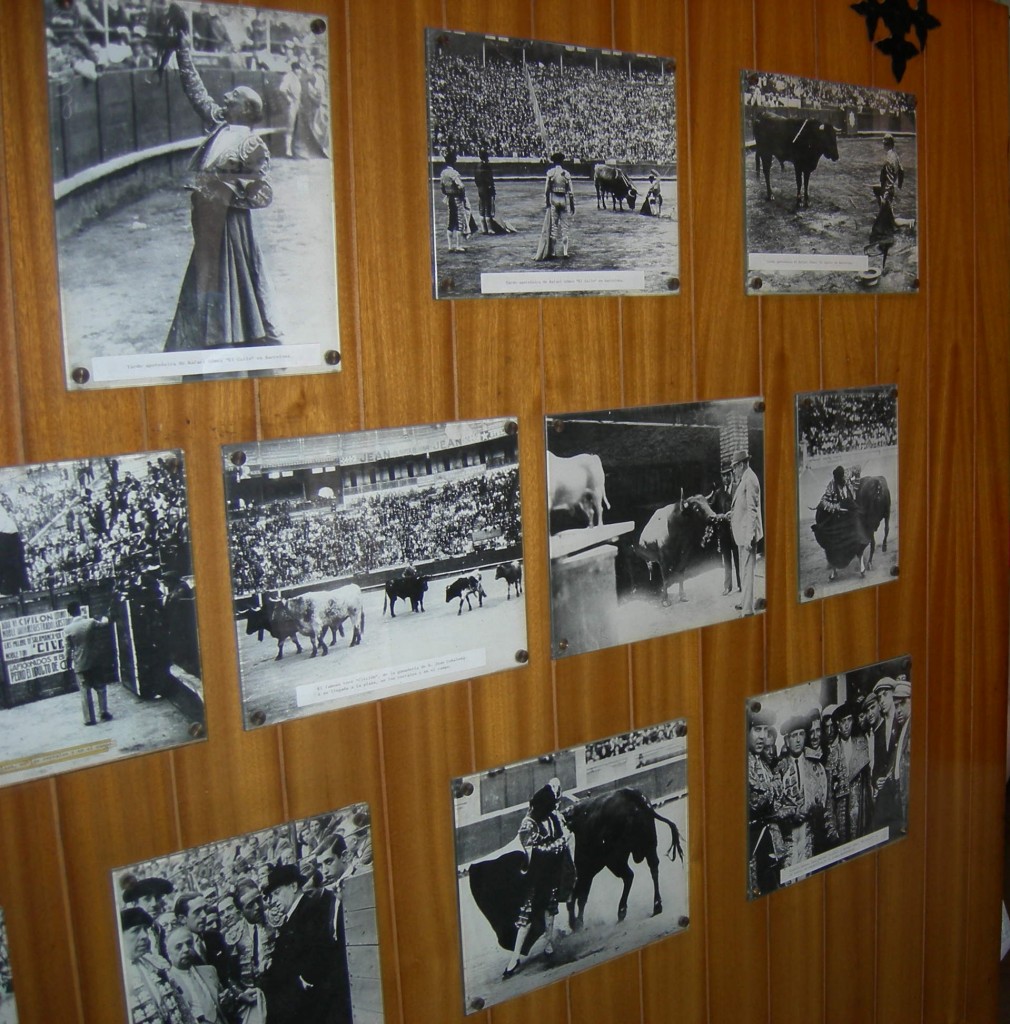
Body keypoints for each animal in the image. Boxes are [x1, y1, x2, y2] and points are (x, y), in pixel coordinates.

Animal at [469, 790, 680, 950]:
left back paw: (624, 911)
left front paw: (576, 924)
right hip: (646, 846)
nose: (505, 941)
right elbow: (580, 898)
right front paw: (577, 923)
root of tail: (631, 796)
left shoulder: (582, 872)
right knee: (650, 869)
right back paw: (654, 906)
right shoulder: (585, 873)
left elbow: (576, 899)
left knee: (631, 875)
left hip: (616, 858)